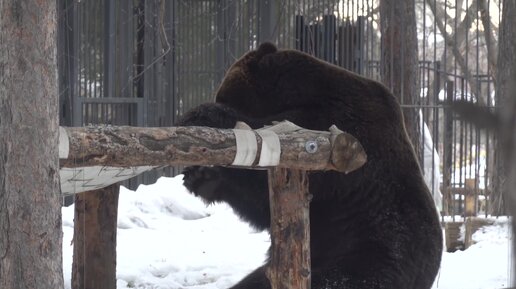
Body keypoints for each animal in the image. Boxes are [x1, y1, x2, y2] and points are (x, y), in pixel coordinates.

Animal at [178, 42, 444, 288]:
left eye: (223, 95)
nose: (216, 98)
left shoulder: (338, 139)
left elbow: (264, 180)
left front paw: (201, 115)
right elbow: (262, 207)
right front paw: (200, 176)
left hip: (366, 253)